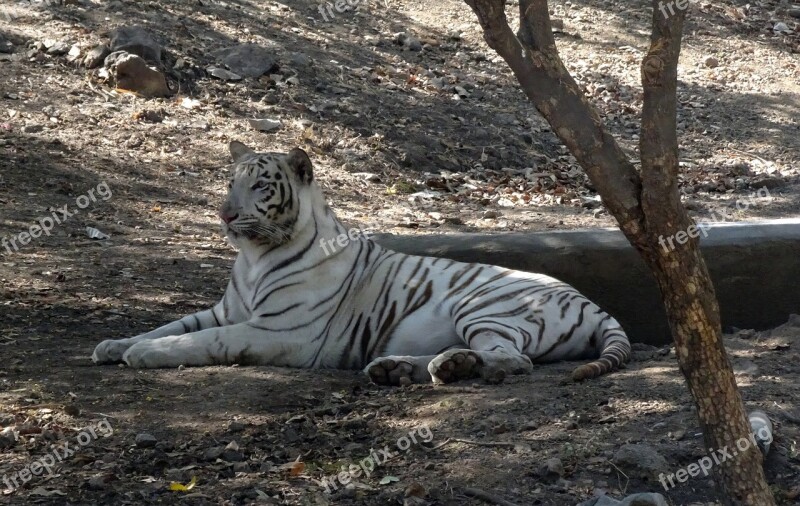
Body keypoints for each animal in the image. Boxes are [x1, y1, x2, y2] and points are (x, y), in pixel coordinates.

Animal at [92, 140, 632, 386]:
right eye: (230, 182)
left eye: (260, 185)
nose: (224, 213)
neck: (254, 257)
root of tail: (593, 304)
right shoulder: (225, 310)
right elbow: (170, 325)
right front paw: (115, 344)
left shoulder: (279, 329)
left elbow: (204, 340)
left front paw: (143, 355)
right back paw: (398, 368)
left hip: (485, 306)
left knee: (512, 359)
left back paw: (446, 367)